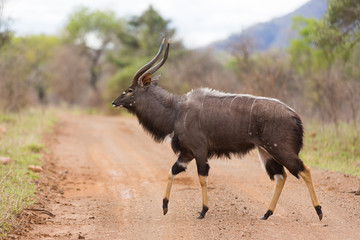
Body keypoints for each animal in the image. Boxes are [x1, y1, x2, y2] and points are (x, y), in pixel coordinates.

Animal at [112, 39, 324, 221]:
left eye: (130, 90)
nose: (115, 102)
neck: (176, 111)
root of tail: (294, 116)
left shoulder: (199, 151)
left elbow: (202, 177)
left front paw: (203, 211)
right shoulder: (187, 153)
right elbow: (172, 171)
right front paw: (164, 206)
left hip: (280, 149)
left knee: (304, 170)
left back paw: (319, 212)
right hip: (266, 152)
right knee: (281, 176)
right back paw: (266, 214)